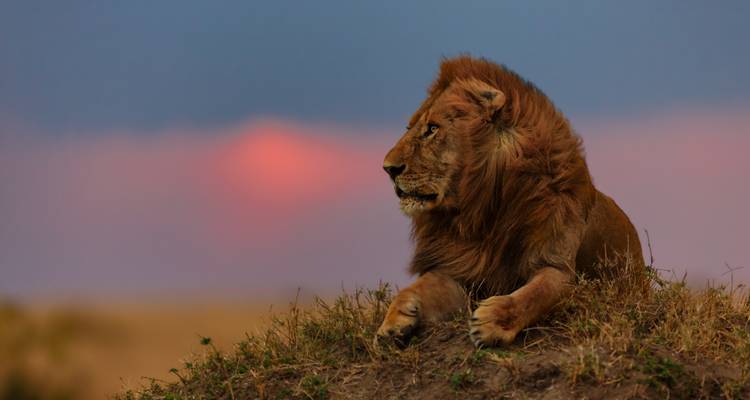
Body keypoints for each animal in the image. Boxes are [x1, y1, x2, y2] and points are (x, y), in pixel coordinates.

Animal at [376, 56, 644, 347]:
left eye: (432, 129)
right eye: (410, 128)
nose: (388, 168)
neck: (481, 210)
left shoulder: (557, 266)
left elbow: (536, 294)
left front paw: (492, 321)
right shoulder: (458, 269)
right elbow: (416, 287)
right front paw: (392, 323)